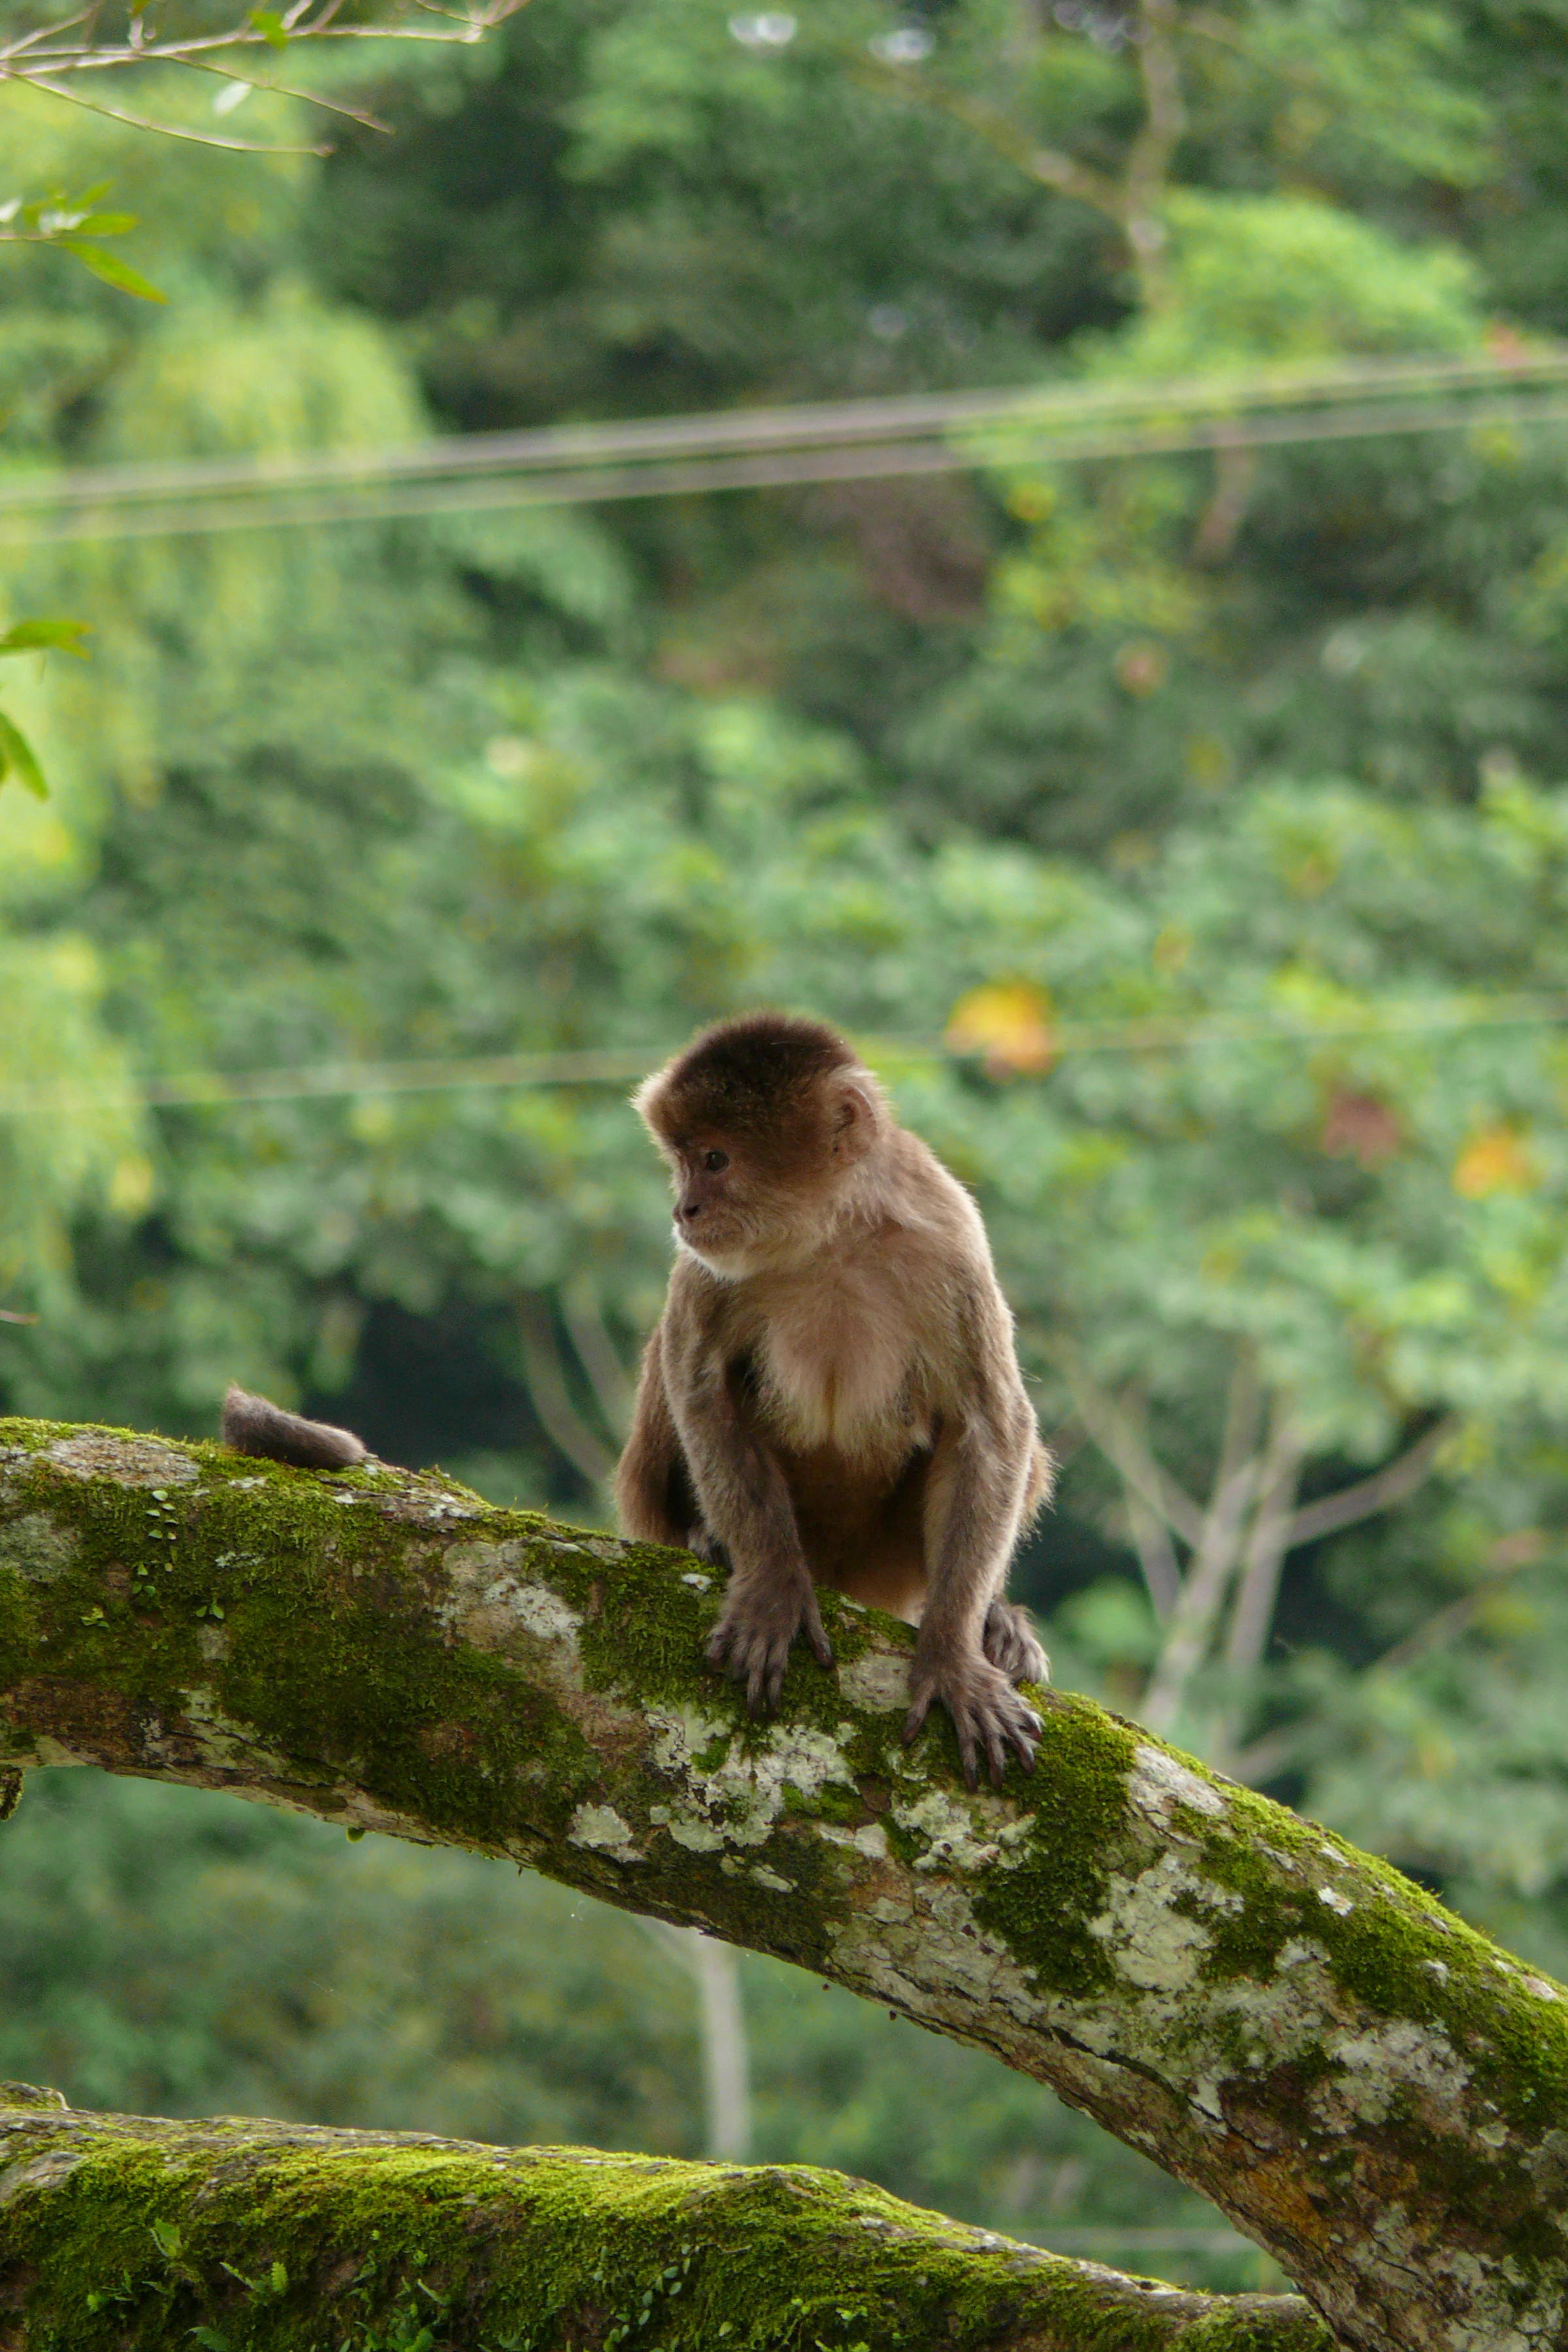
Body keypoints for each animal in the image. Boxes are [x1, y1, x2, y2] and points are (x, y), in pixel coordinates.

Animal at [615, 1011, 1052, 1788]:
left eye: (715, 1160)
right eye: (683, 1161)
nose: (683, 1208)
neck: (833, 1238)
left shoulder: (948, 1241)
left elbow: (992, 1428)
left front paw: (953, 1652)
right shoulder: (709, 1268)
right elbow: (700, 1387)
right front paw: (771, 1586)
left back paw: (994, 1618)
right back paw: (708, 1540)